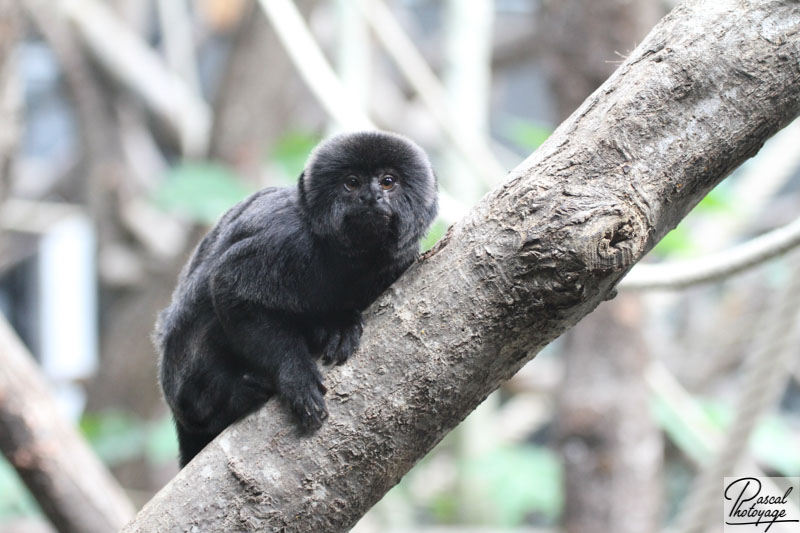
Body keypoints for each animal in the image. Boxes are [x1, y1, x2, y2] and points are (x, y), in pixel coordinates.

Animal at [153, 130, 440, 466]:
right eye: (352, 183)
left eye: (387, 182)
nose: (371, 198)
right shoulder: (286, 241)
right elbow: (228, 288)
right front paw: (296, 376)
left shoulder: (402, 261)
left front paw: (339, 326)